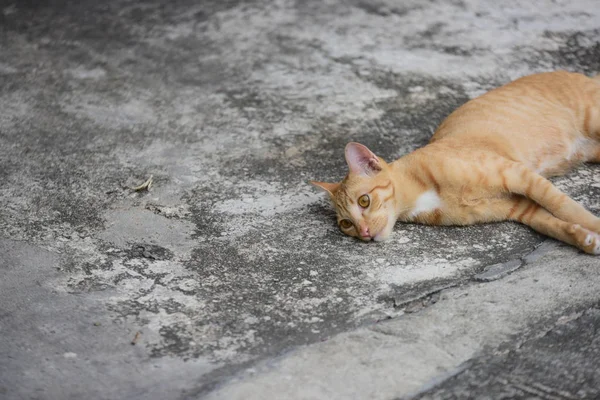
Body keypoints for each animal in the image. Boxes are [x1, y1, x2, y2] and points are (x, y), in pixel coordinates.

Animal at [312, 70, 600, 255]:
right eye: (346, 224)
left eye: (364, 201)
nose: (363, 233)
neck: (422, 194)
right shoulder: (519, 208)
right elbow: (552, 224)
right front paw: (584, 239)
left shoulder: (519, 175)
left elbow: (565, 206)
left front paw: (594, 227)